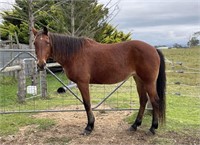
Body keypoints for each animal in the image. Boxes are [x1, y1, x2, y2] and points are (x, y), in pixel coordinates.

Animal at [32, 26, 166, 135]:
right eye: (34, 43)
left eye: (47, 42)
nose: (41, 65)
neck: (75, 53)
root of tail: (154, 49)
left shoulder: (82, 83)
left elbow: (87, 104)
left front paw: (89, 127)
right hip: (139, 80)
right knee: (143, 100)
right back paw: (134, 126)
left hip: (149, 82)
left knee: (155, 101)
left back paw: (152, 128)